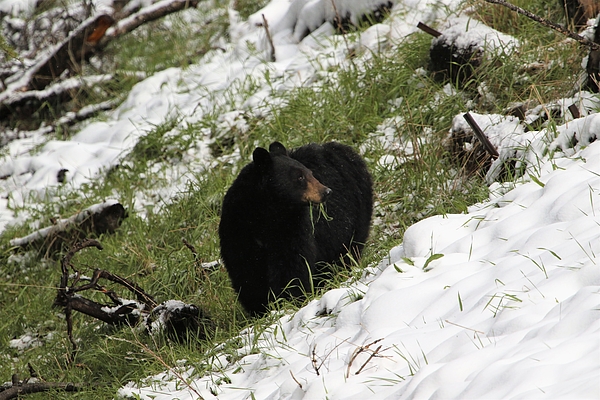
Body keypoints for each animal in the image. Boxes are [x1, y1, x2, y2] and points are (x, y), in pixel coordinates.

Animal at [218, 141, 372, 316]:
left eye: (310, 173)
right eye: (300, 177)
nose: (326, 191)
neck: (266, 215)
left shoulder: (293, 227)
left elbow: (293, 265)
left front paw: (289, 300)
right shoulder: (238, 231)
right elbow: (247, 272)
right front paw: (260, 309)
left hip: (356, 214)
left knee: (347, 250)